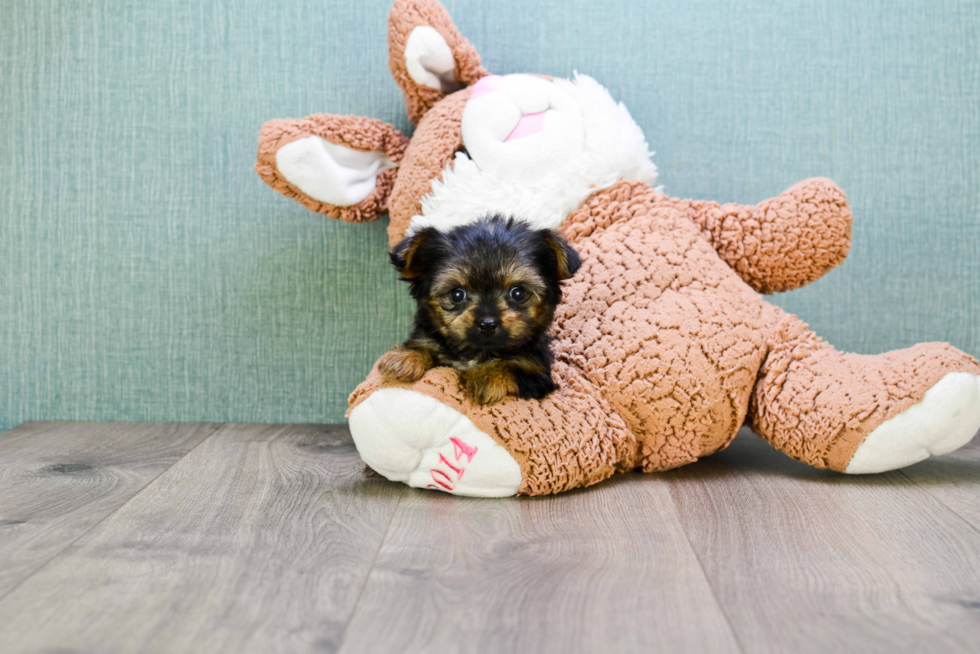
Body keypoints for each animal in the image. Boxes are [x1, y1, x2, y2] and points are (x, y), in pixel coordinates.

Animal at [378, 217, 580, 404]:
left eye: (518, 293)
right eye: (457, 294)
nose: (488, 323)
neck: (478, 352)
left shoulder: (537, 373)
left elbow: (512, 366)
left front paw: (486, 375)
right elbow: (426, 348)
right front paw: (406, 357)